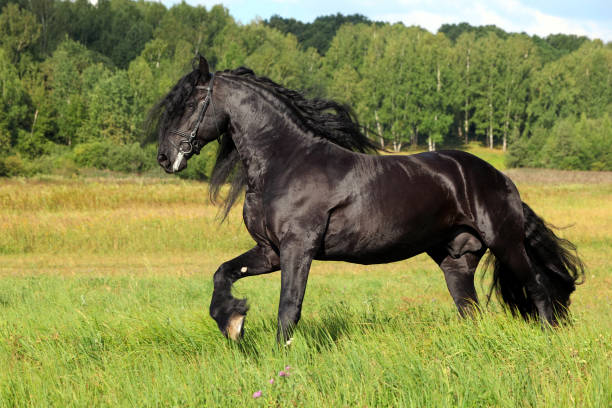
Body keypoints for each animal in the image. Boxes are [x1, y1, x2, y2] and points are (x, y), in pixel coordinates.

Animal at [152, 56, 584, 344]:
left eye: (189, 104)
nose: (164, 157)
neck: (286, 161)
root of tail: (501, 179)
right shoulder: (270, 251)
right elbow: (222, 273)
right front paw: (233, 323)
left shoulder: (297, 248)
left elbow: (288, 308)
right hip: (455, 259)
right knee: (470, 309)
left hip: (505, 243)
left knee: (539, 288)